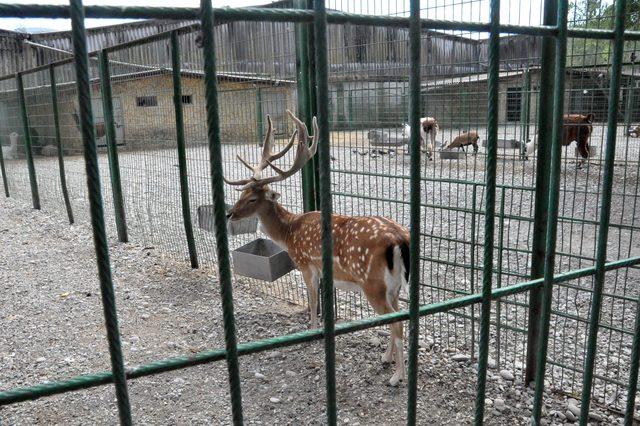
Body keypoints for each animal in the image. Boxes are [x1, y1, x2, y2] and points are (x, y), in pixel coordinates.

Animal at [225, 110, 412, 386]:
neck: (290, 233)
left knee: (397, 323)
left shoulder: (306, 264)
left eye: (252, 199)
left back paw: (397, 376)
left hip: (372, 283)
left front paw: (311, 331)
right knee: (397, 315)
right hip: (394, 285)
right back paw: (386, 358)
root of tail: (400, 240)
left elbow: (312, 301)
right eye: (242, 193)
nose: (229, 214)